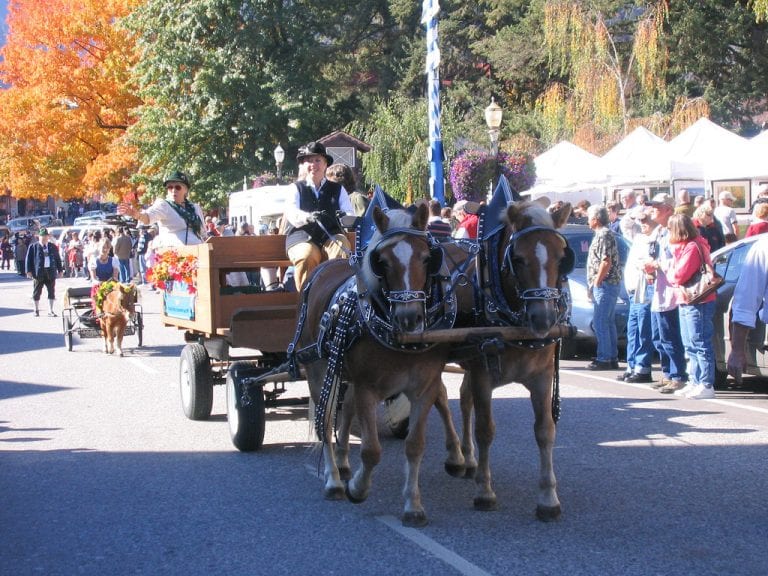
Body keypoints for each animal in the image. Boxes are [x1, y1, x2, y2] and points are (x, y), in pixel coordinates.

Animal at [296, 204, 464, 528]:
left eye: (427, 258)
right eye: (382, 262)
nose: (410, 317)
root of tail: (324, 268)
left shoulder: (423, 388)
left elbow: (415, 444)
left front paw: (413, 505)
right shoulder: (367, 388)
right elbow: (371, 450)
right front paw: (358, 488)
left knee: (345, 410)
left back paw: (343, 461)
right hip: (318, 368)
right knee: (325, 420)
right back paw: (334, 480)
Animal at [452, 200, 572, 520]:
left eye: (562, 257)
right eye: (517, 258)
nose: (543, 318)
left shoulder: (543, 377)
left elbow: (545, 431)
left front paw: (548, 497)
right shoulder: (482, 375)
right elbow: (485, 430)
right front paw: (485, 491)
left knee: (463, 400)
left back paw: (466, 459)